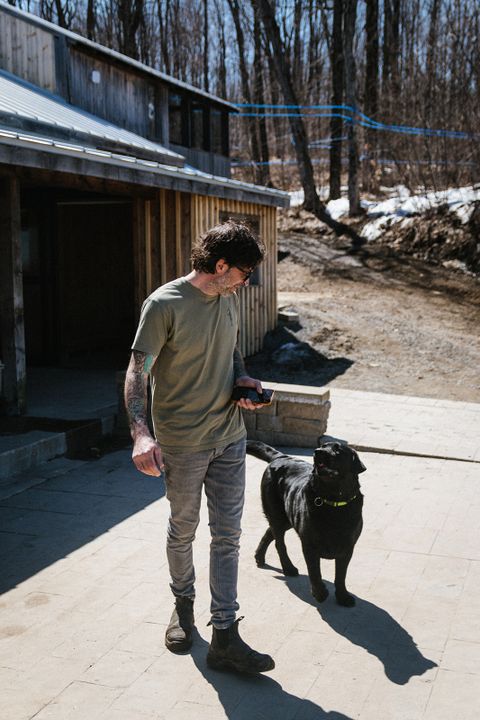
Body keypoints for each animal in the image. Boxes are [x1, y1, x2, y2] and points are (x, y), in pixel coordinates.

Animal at [249, 438, 366, 608]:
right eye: (323, 446)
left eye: (337, 449)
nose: (318, 452)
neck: (332, 501)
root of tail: (281, 457)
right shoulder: (310, 545)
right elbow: (314, 572)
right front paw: (320, 593)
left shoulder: (347, 548)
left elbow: (340, 575)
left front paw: (342, 596)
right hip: (278, 514)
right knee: (279, 543)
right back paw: (288, 568)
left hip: (286, 517)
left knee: (269, 532)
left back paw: (259, 556)